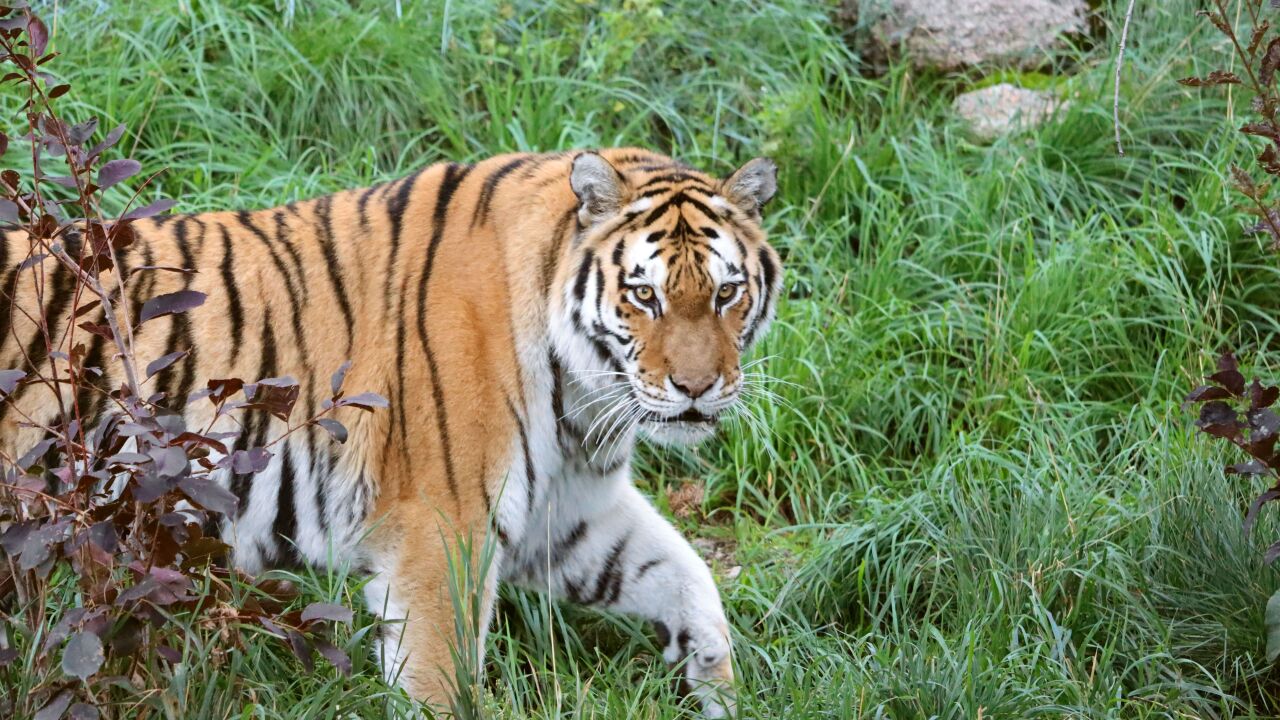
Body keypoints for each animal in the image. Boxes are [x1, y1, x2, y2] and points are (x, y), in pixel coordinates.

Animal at [0, 148, 778, 712]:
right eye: (644, 295)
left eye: (726, 293)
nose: (697, 389)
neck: (581, 399)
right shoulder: (443, 529)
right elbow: (440, 680)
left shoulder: (568, 516)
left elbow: (684, 576)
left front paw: (716, 689)